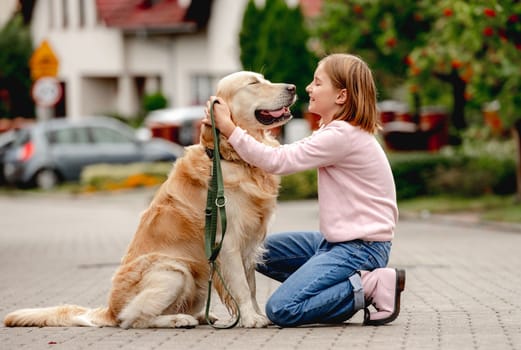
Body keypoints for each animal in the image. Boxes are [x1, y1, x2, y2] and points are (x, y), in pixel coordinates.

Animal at [3, 71, 296, 328]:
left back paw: (201, 316)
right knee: (133, 318)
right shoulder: (228, 241)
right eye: (253, 83)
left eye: (264, 79)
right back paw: (179, 320)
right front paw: (251, 319)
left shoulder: (249, 244)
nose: (292, 87)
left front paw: (257, 315)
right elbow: (242, 287)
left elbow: (252, 286)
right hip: (174, 271)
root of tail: (109, 310)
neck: (231, 158)